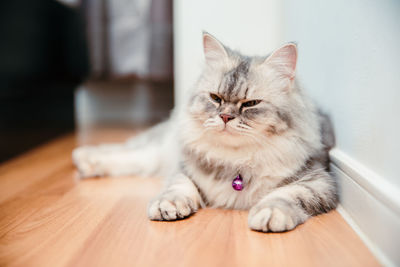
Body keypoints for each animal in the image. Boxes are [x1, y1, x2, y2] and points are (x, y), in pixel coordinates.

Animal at [72, 30, 338, 232]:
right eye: (215, 98)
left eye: (251, 104)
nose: (226, 117)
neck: (236, 162)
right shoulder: (184, 169)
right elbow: (179, 187)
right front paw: (168, 206)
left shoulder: (317, 182)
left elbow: (284, 196)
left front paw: (270, 214)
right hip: (160, 150)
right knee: (131, 152)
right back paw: (83, 159)